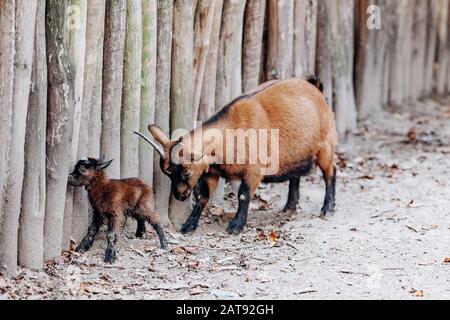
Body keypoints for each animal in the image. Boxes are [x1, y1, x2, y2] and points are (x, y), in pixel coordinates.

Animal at [137, 76, 338, 234]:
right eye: (168, 173)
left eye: (186, 172)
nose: (179, 196)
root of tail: (315, 87)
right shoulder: (212, 172)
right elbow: (202, 197)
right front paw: (189, 226)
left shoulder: (254, 170)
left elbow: (243, 195)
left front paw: (236, 226)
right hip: (296, 154)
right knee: (295, 176)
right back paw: (289, 207)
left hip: (325, 145)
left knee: (331, 172)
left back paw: (327, 208)